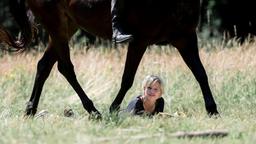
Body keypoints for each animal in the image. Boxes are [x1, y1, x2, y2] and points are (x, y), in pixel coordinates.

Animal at [1, 0, 219, 117]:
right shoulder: (139, 40)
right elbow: (127, 78)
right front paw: (114, 109)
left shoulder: (186, 38)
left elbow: (201, 74)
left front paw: (213, 110)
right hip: (55, 23)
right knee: (66, 68)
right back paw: (93, 111)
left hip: (67, 25)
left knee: (45, 65)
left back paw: (30, 110)